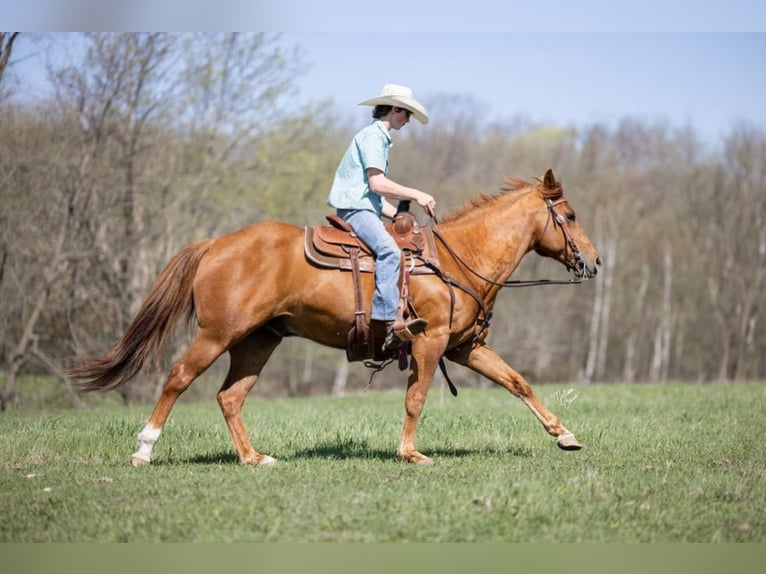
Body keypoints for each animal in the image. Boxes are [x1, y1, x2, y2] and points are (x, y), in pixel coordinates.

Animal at [67, 169, 600, 466]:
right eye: (571, 216)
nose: (593, 261)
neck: (457, 259)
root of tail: (216, 244)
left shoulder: (465, 346)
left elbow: (518, 382)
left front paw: (565, 436)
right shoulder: (430, 343)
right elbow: (416, 399)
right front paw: (411, 453)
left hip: (258, 340)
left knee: (230, 396)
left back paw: (253, 458)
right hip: (219, 334)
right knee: (179, 378)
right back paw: (144, 450)